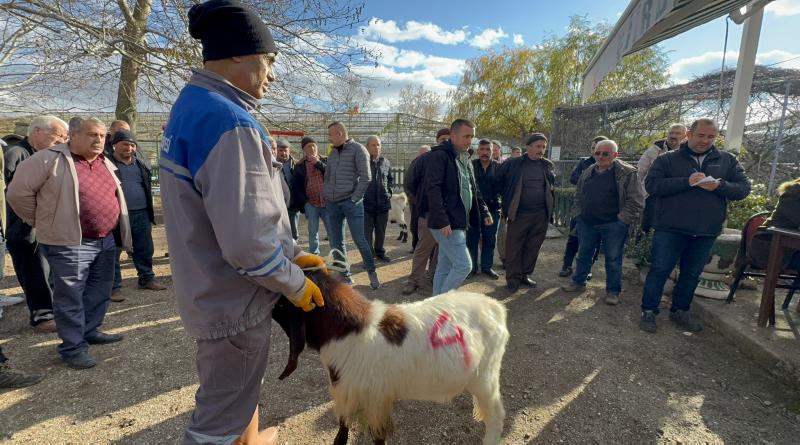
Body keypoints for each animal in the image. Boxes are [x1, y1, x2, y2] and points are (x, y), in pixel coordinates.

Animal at [272, 268, 510, 442]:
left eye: (282, 303)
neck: (350, 331)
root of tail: (496, 308)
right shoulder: (354, 397)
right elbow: (343, 433)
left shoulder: (372, 398)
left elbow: (369, 437)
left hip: (485, 378)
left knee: (496, 418)